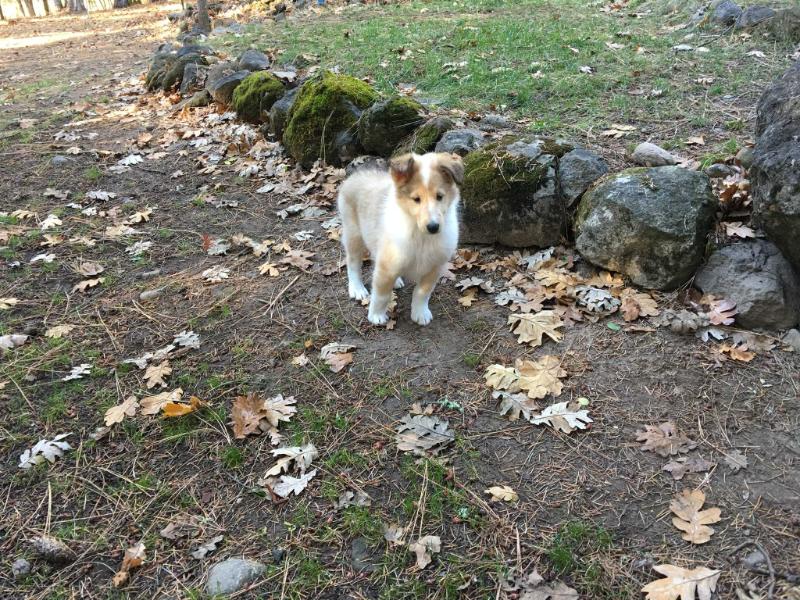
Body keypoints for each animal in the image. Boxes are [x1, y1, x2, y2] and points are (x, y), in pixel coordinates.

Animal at [336, 152, 462, 326]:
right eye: (416, 199)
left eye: (439, 197)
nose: (433, 227)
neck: (421, 236)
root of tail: (358, 174)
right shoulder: (387, 266)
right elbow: (381, 295)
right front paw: (376, 316)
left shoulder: (434, 267)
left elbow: (422, 293)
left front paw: (420, 313)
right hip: (354, 235)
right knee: (353, 263)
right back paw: (357, 289)